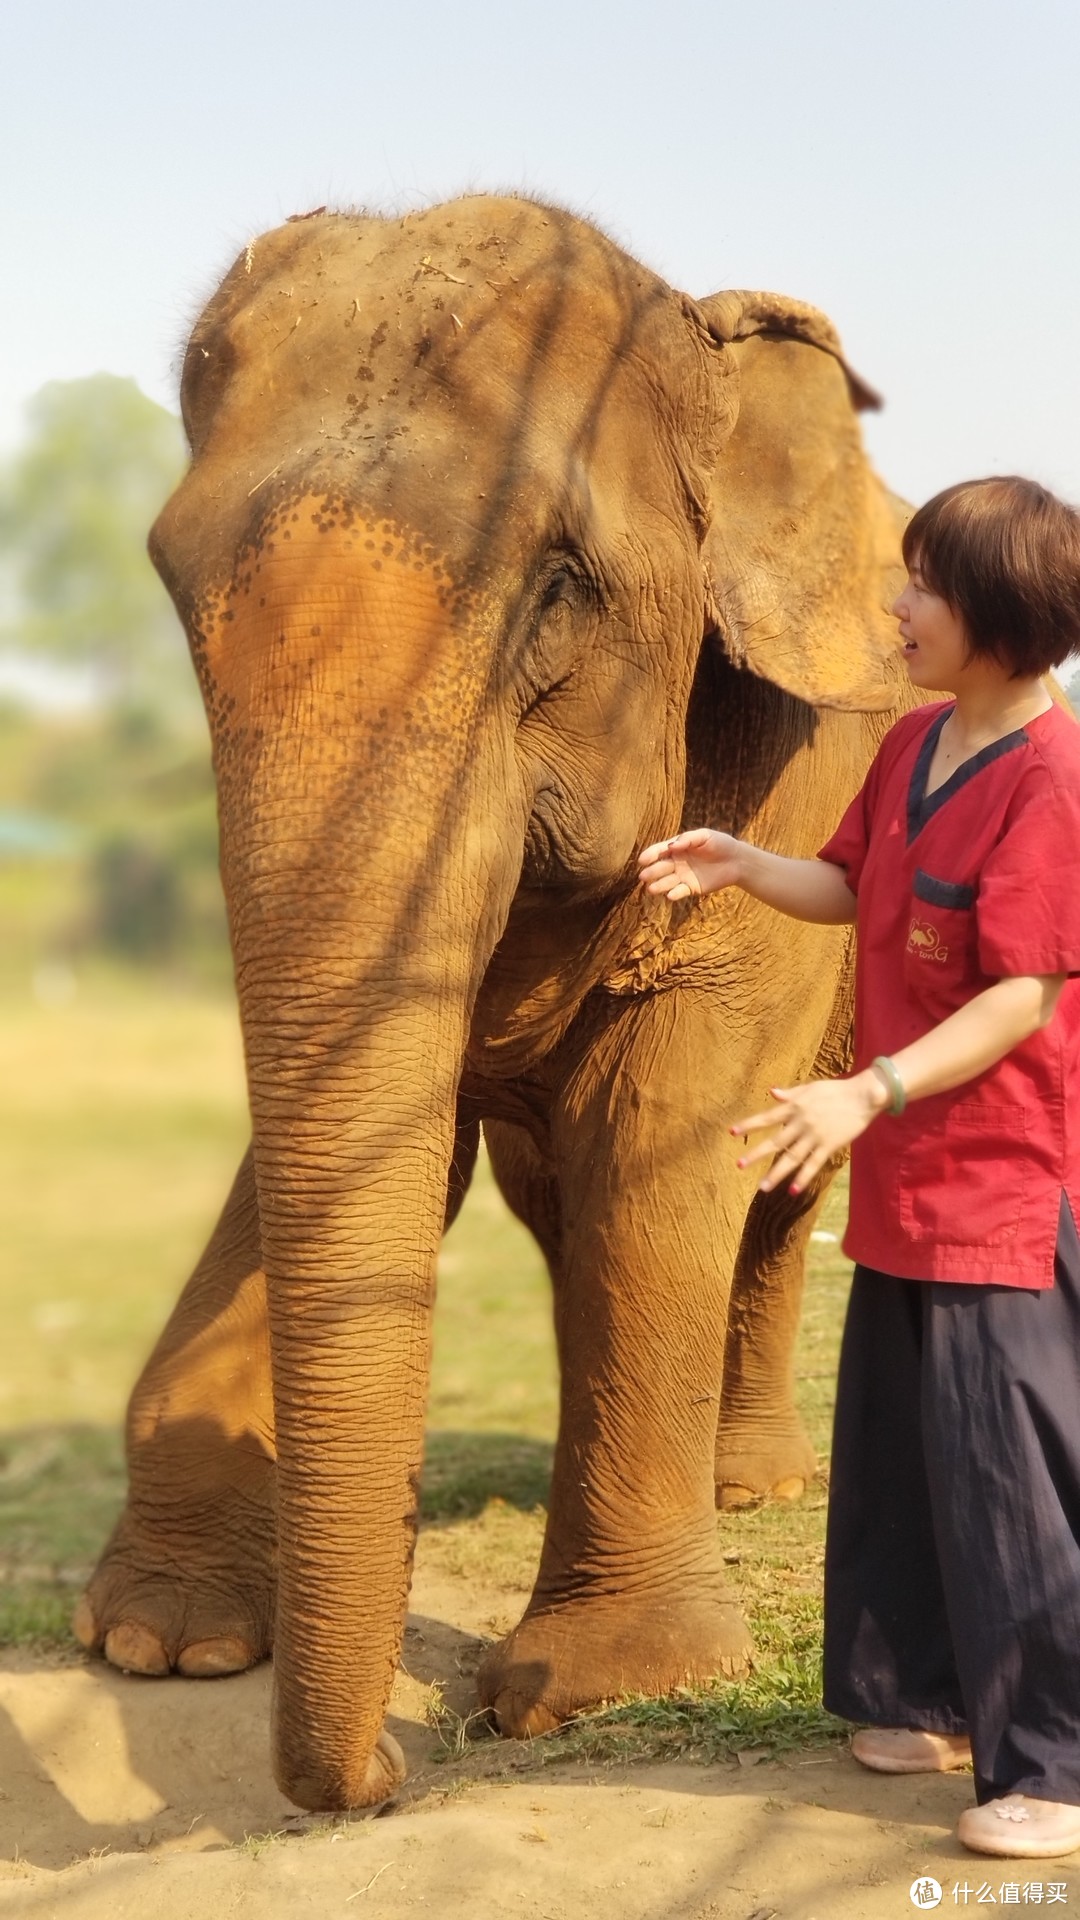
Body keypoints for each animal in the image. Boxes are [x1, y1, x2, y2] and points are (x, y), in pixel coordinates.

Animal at [71, 198, 903, 1812]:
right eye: (172, 585)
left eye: (559, 587)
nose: (390, 1771)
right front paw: (163, 1641)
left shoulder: (788, 793)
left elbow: (658, 1127)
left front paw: (593, 1689)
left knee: (764, 1202)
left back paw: (751, 1483)